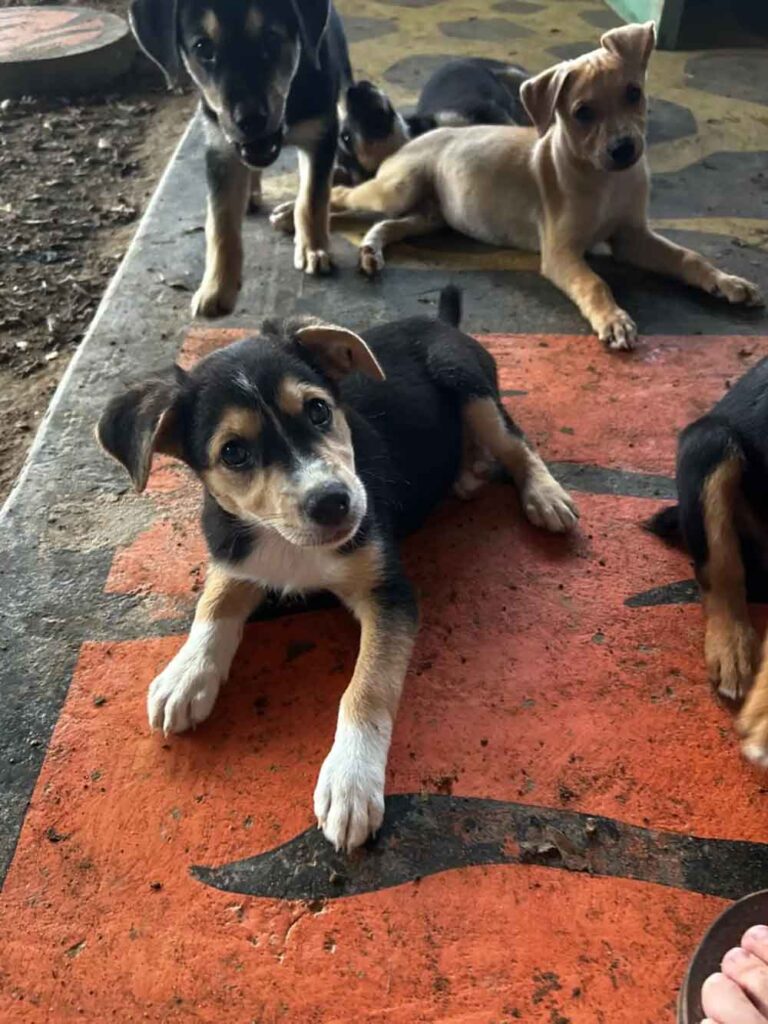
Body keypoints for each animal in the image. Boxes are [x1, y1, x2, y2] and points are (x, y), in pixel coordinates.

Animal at [97, 286, 577, 847]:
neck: (288, 543)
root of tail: (439, 321)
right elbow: (213, 604)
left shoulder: (390, 593)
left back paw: (542, 494)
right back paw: (468, 471)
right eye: (233, 452)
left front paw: (351, 782)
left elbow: (367, 687)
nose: (333, 503)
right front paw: (186, 673)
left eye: (319, 411)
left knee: (516, 441)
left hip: (466, 381)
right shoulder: (233, 549)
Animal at [130, 0, 352, 317]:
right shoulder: (219, 147)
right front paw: (216, 287)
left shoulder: (322, 135)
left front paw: (313, 249)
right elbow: (220, 222)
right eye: (203, 47)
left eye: (271, 38)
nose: (250, 121)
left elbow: (312, 198)